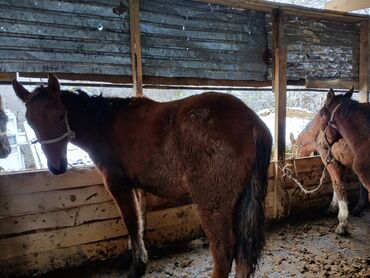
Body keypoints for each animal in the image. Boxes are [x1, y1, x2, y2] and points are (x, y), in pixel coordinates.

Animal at [12, 74, 272, 278]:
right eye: (30, 120)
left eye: (60, 115)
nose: (57, 167)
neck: (105, 123)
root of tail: (252, 123)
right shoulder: (136, 187)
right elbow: (139, 221)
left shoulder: (117, 185)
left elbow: (131, 222)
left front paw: (137, 267)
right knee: (243, 253)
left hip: (213, 204)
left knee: (224, 251)